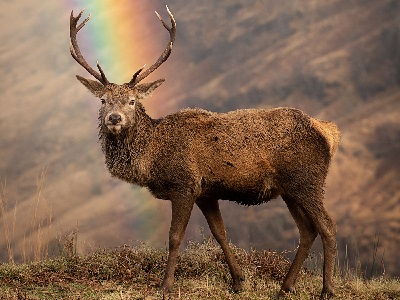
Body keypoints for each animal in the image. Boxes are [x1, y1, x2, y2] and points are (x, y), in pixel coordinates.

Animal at [69, 5, 340, 298]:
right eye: (103, 100)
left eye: (132, 101)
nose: (114, 118)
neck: (153, 157)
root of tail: (327, 131)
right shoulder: (207, 193)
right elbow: (220, 233)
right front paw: (238, 281)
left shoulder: (184, 185)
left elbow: (175, 237)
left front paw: (165, 284)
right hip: (289, 188)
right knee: (307, 230)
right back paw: (285, 287)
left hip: (307, 181)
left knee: (327, 226)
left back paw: (327, 289)